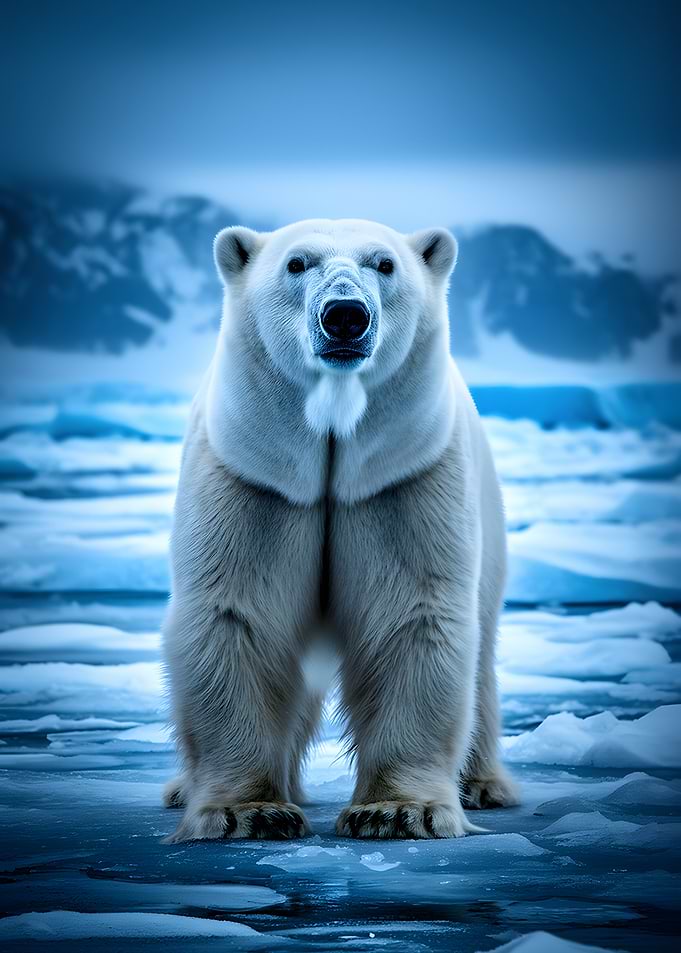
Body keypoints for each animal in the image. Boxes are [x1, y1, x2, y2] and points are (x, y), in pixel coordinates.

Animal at [161, 218, 518, 843]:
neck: (331, 447)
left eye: (385, 264)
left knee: (482, 647)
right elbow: (234, 614)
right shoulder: (254, 480)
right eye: (296, 263)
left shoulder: (401, 481)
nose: (345, 316)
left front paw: (399, 811)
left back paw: (482, 785)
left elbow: (413, 615)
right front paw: (247, 811)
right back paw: (185, 786)